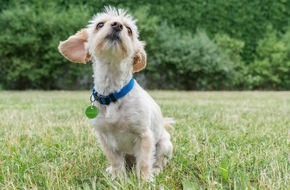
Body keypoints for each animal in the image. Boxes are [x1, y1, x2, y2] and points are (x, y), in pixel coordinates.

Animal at [57, 6, 173, 181]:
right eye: (100, 24)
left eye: (129, 30)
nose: (117, 25)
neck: (112, 94)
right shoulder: (104, 137)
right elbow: (115, 160)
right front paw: (118, 177)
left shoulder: (145, 136)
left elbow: (145, 161)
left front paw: (145, 179)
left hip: (165, 144)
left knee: (159, 160)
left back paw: (156, 170)